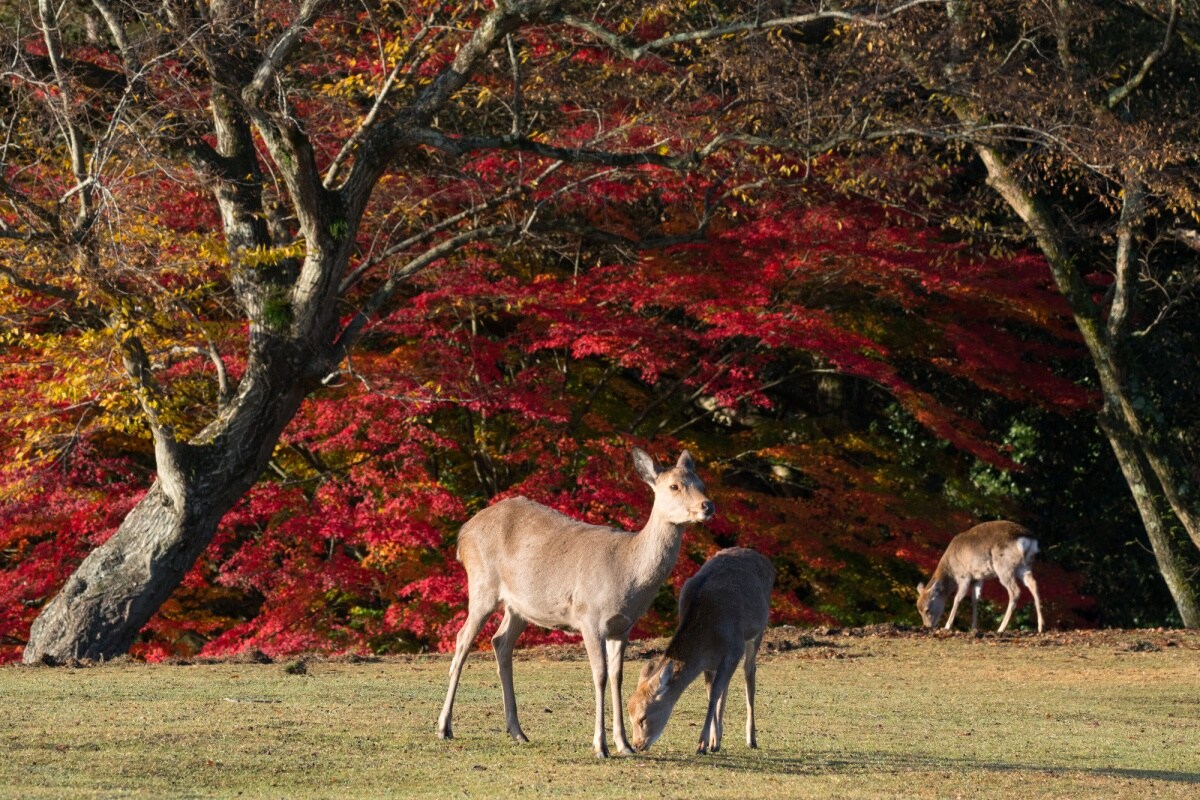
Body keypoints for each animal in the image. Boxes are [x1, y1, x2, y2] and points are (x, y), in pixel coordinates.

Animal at [436, 450, 710, 758]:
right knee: (463, 640)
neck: (628, 574)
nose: (707, 506)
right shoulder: (589, 617)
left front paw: (624, 744)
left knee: (500, 641)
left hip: (518, 606)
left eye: (701, 483)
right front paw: (600, 746)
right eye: (674, 486)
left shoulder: (622, 628)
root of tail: (462, 534)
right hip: (482, 585)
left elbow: (617, 677)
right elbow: (600, 675)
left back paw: (517, 731)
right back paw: (444, 727)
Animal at [624, 546, 772, 753]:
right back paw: (719, 739)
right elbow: (712, 693)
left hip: (757, 630)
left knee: (749, 673)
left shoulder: (734, 649)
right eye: (629, 715)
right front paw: (712, 741)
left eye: (642, 718)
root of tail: (765, 561)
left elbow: (715, 694)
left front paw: (701, 744)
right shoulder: (709, 663)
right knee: (726, 686)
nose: (637, 745)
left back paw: (751, 739)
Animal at [912, 522, 1046, 633]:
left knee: (1015, 591)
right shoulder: (977, 578)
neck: (950, 570)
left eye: (927, 609)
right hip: (1024, 565)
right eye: (918, 610)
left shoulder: (964, 575)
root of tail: (1028, 540)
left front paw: (947, 626)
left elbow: (957, 598)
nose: (927, 626)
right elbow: (975, 599)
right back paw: (1041, 627)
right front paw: (974, 627)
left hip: (1004, 567)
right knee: (1033, 583)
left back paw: (1001, 628)